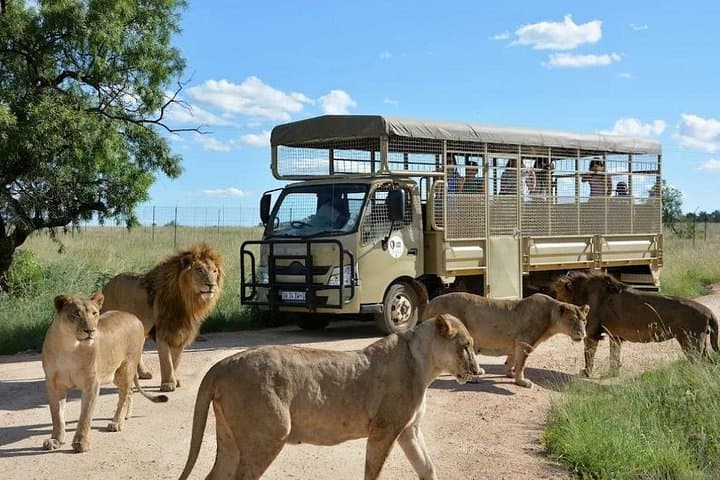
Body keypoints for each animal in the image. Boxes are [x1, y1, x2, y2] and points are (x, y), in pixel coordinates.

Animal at [41, 293, 168, 453]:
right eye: (75, 314)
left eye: (94, 313)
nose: (90, 331)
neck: (70, 346)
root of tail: (135, 317)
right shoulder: (53, 383)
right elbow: (56, 414)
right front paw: (55, 440)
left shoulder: (92, 383)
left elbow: (85, 416)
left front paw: (81, 443)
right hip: (115, 375)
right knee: (129, 392)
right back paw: (126, 416)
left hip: (126, 369)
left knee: (124, 396)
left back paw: (117, 423)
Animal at [101, 243, 224, 392]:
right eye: (199, 270)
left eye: (214, 271)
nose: (211, 285)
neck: (188, 302)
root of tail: (108, 284)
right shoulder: (162, 331)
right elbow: (167, 361)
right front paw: (168, 384)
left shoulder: (181, 332)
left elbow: (175, 361)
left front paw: (175, 380)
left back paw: (143, 373)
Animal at [178, 314, 480, 480]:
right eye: (466, 345)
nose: (478, 370)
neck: (424, 364)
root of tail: (222, 364)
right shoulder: (384, 430)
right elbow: (373, 472)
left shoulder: (409, 430)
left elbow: (428, 469)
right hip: (269, 435)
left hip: (230, 439)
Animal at [422, 292, 589, 388]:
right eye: (572, 320)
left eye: (584, 320)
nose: (582, 334)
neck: (550, 317)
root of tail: (430, 302)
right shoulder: (525, 342)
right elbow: (521, 364)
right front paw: (522, 381)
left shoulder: (516, 342)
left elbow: (512, 359)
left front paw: (510, 373)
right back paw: (472, 377)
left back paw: (478, 371)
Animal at [553, 270, 719, 377]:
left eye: (558, 293)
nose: (556, 303)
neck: (582, 292)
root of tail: (709, 311)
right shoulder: (615, 335)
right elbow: (614, 356)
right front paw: (613, 373)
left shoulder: (592, 333)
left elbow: (588, 355)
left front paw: (586, 373)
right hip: (699, 344)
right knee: (710, 363)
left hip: (691, 343)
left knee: (702, 364)